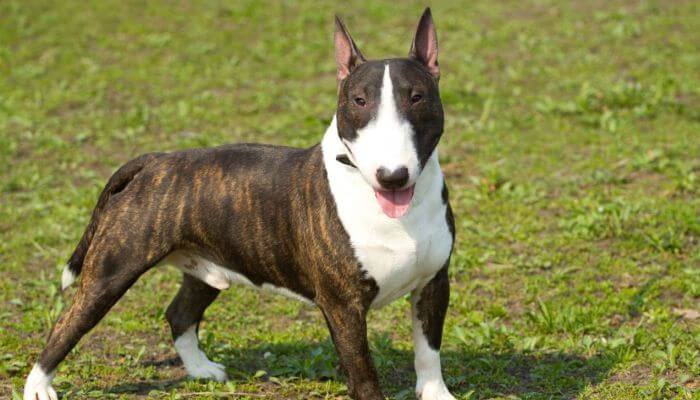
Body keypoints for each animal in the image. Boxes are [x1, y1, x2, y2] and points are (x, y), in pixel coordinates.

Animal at [23, 7, 454, 400]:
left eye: (417, 97)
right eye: (359, 101)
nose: (392, 175)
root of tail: (155, 160)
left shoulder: (434, 284)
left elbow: (429, 354)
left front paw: (437, 394)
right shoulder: (343, 306)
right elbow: (363, 373)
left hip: (206, 265)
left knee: (179, 314)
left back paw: (202, 369)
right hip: (110, 273)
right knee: (66, 326)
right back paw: (39, 386)